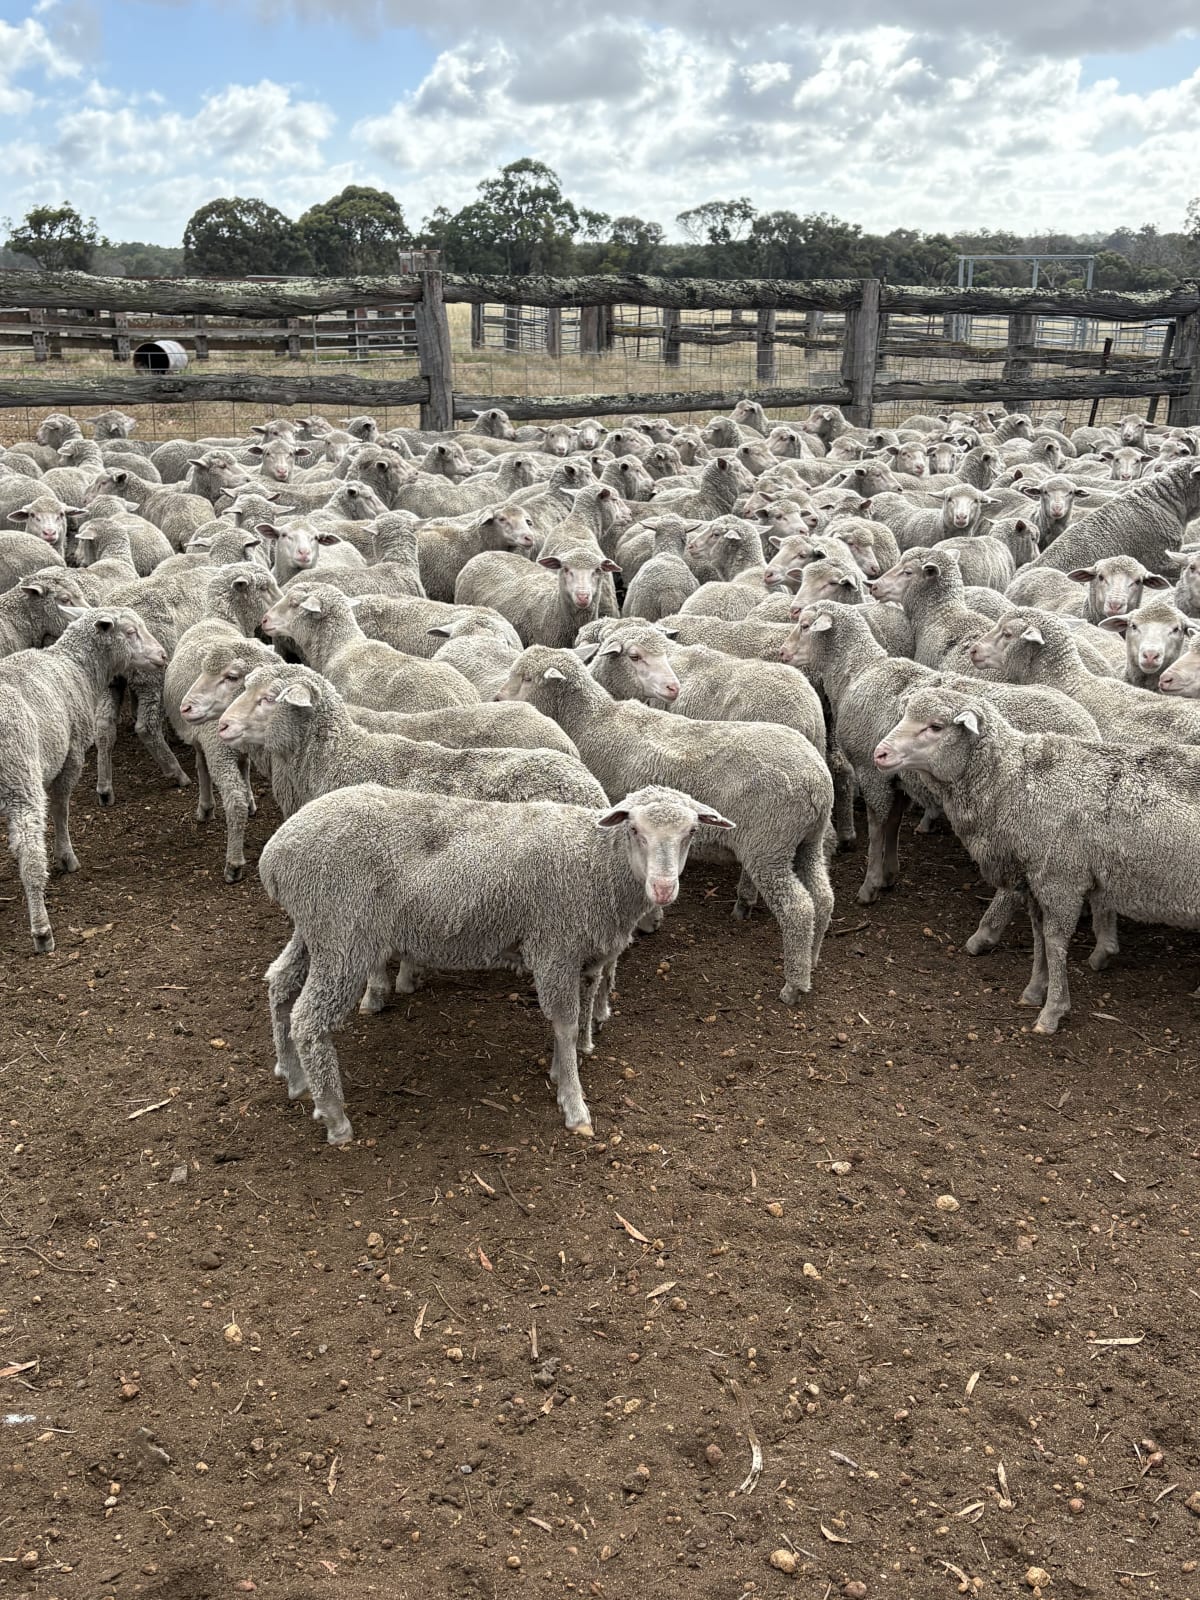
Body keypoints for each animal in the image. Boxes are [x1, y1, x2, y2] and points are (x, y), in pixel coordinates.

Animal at [0, 607, 167, 951]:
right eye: (130, 632)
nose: (163, 655)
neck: (74, 667)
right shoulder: (72, 755)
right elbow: (61, 810)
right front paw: (66, 857)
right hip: (20, 778)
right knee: (30, 851)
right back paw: (42, 930)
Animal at [260, 779, 728, 1143]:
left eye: (690, 832)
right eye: (634, 829)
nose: (664, 888)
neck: (595, 863)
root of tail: (275, 852)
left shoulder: (582, 953)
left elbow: (576, 1016)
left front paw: (561, 1069)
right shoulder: (554, 945)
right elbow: (565, 1022)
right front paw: (574, 1103)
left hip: (317, 928)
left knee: (279, 982)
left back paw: (293, 1077)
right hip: (344, 935)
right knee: (309, 1019)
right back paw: (335, 1117)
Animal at [496, 645, 834, 1003]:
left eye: (527, 678)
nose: (498, 698)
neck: (590, 723)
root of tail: (817, 780)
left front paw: (648, 920)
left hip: (769, 844)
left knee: (798, 909)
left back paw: (793, 985)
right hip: (804, 841)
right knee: (822, 897)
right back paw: (812, 959)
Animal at [873, 683, 1200, 1033]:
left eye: (935, 726)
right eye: (905, 715)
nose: (879, 753)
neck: (1015, 783)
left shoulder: (1060, 878)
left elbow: (1055, 941)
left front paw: (1052, 1010)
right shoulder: (1033, 878)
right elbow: (1038, 933)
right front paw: (1034, 990)